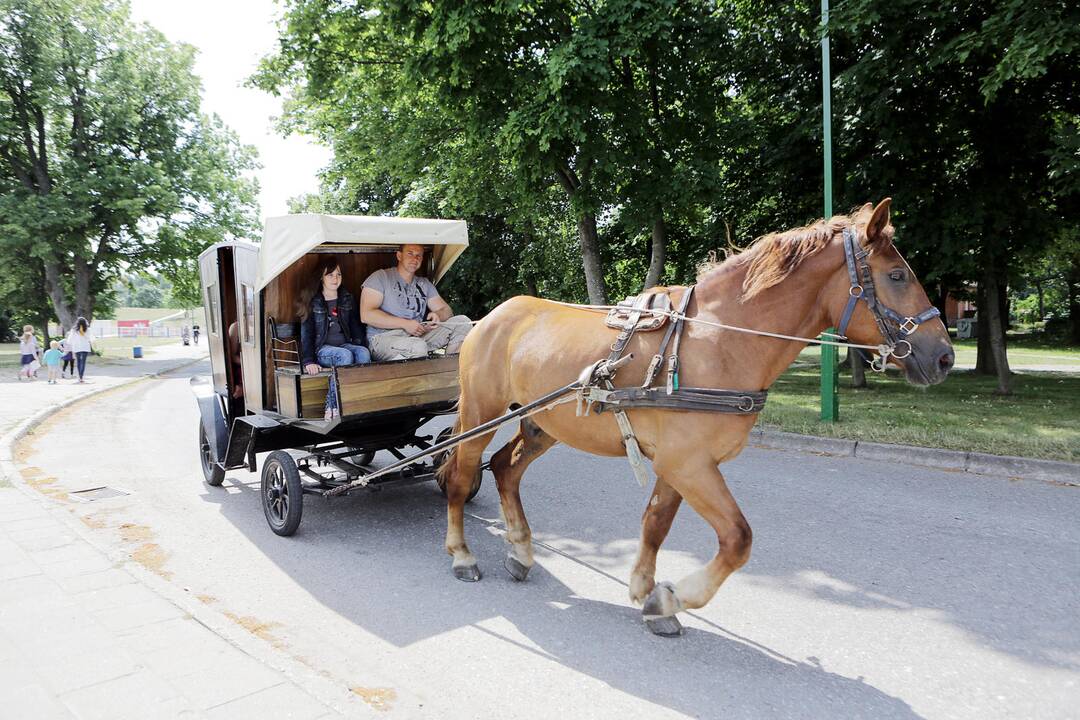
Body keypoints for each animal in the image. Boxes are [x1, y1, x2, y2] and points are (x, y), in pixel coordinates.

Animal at [438, 198, 954, 634]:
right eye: (897, 276)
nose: (945, 357)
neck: (720, 341)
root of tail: (493, 316)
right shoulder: (688, 464)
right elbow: (738, 538)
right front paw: (673, 597)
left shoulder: (680, 464)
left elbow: (656, 523)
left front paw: (649, 592)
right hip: (481, 413)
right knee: (462, 477)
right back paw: (462, 555)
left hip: (545, 424)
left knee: (505, 469)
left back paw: (521, 551)